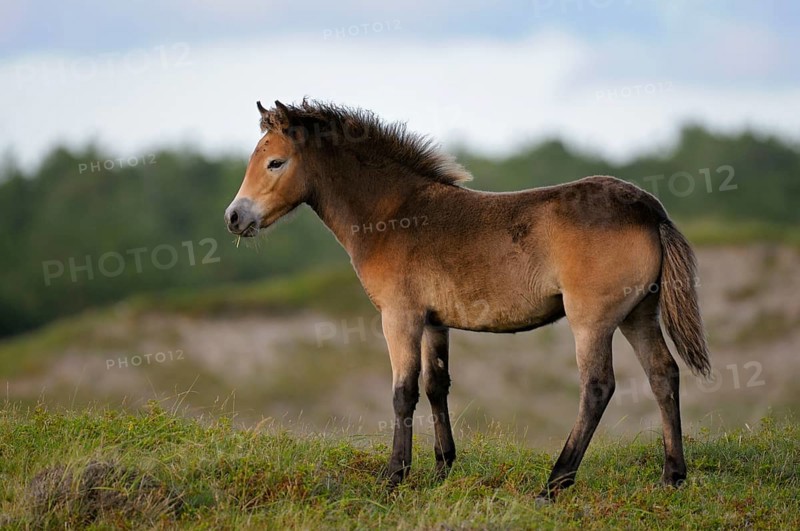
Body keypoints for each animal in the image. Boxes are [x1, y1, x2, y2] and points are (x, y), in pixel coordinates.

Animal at [224, 99, 710, 500]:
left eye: (274, 162)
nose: (234, 217)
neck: (392, 213)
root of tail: (650, 209)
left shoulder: (400, 316)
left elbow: (403, 392)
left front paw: (394, 477)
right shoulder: (434, 320)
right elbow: (436, 386)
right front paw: (442, 470)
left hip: (592, 320)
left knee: (598, 387)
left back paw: (554, 484)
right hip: (638, 314)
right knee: (663, 374)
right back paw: (672, 476)